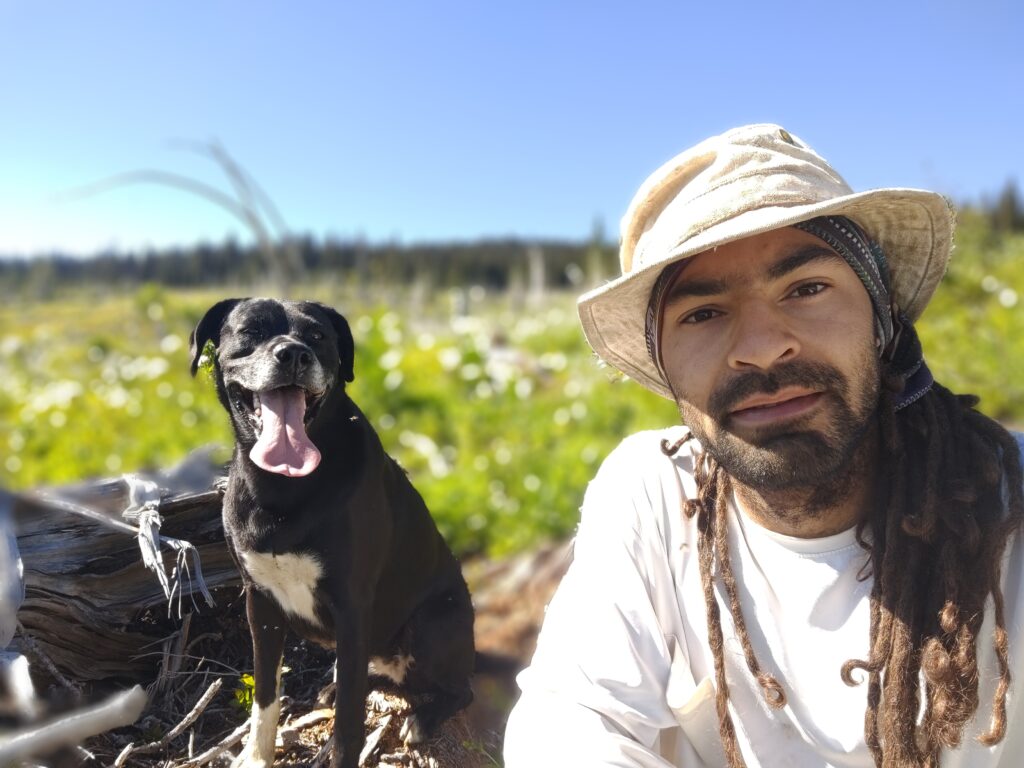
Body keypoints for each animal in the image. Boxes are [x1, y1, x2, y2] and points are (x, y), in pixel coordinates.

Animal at [192, 299, 475, 768]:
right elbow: (266, 695)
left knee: (458, 690)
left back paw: (422, 719)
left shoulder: (352, 605)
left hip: (433, 626)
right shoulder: (259, 601)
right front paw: (257, 755)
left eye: (317, 336)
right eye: (250, 330)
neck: (282, 486)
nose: (293, 354)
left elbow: (348, 720)